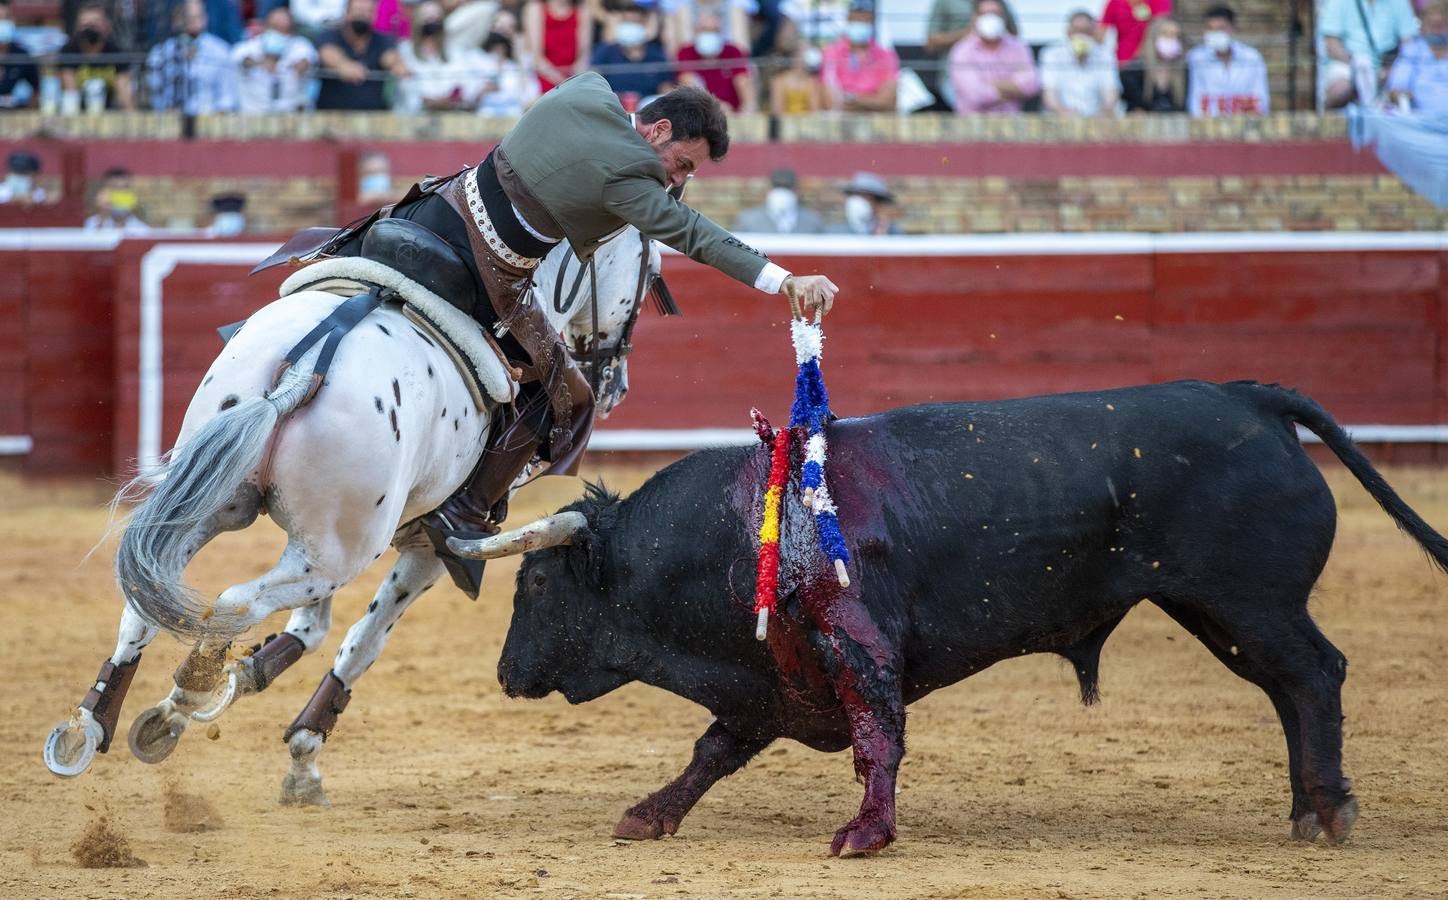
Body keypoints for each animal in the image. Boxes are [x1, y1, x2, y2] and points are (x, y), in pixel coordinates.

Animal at [43, 222, 666, 810]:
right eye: (650, 269)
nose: (617, 382)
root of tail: (307, 367)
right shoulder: (428, 549)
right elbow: (362, 643)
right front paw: (301, 759)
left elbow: (312, 629)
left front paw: (244, 679)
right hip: (341, 551)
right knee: (234, 603)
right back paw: (183, 699)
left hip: (230, 511)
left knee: (145, 598)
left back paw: (90, 728)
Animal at [495, 381, 1448, 862]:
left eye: (535, 585)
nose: (504, 674)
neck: (748, 528)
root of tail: (1249, 398)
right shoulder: (771, 681)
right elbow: (713, 751)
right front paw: (648, 815)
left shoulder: (857, 648)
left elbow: (878, 739)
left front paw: (864, 835)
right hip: (1221, 611)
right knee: (1290, 691)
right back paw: (1306, 811)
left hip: (1247, 601)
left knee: (1315, 676)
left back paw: (1331, 811)